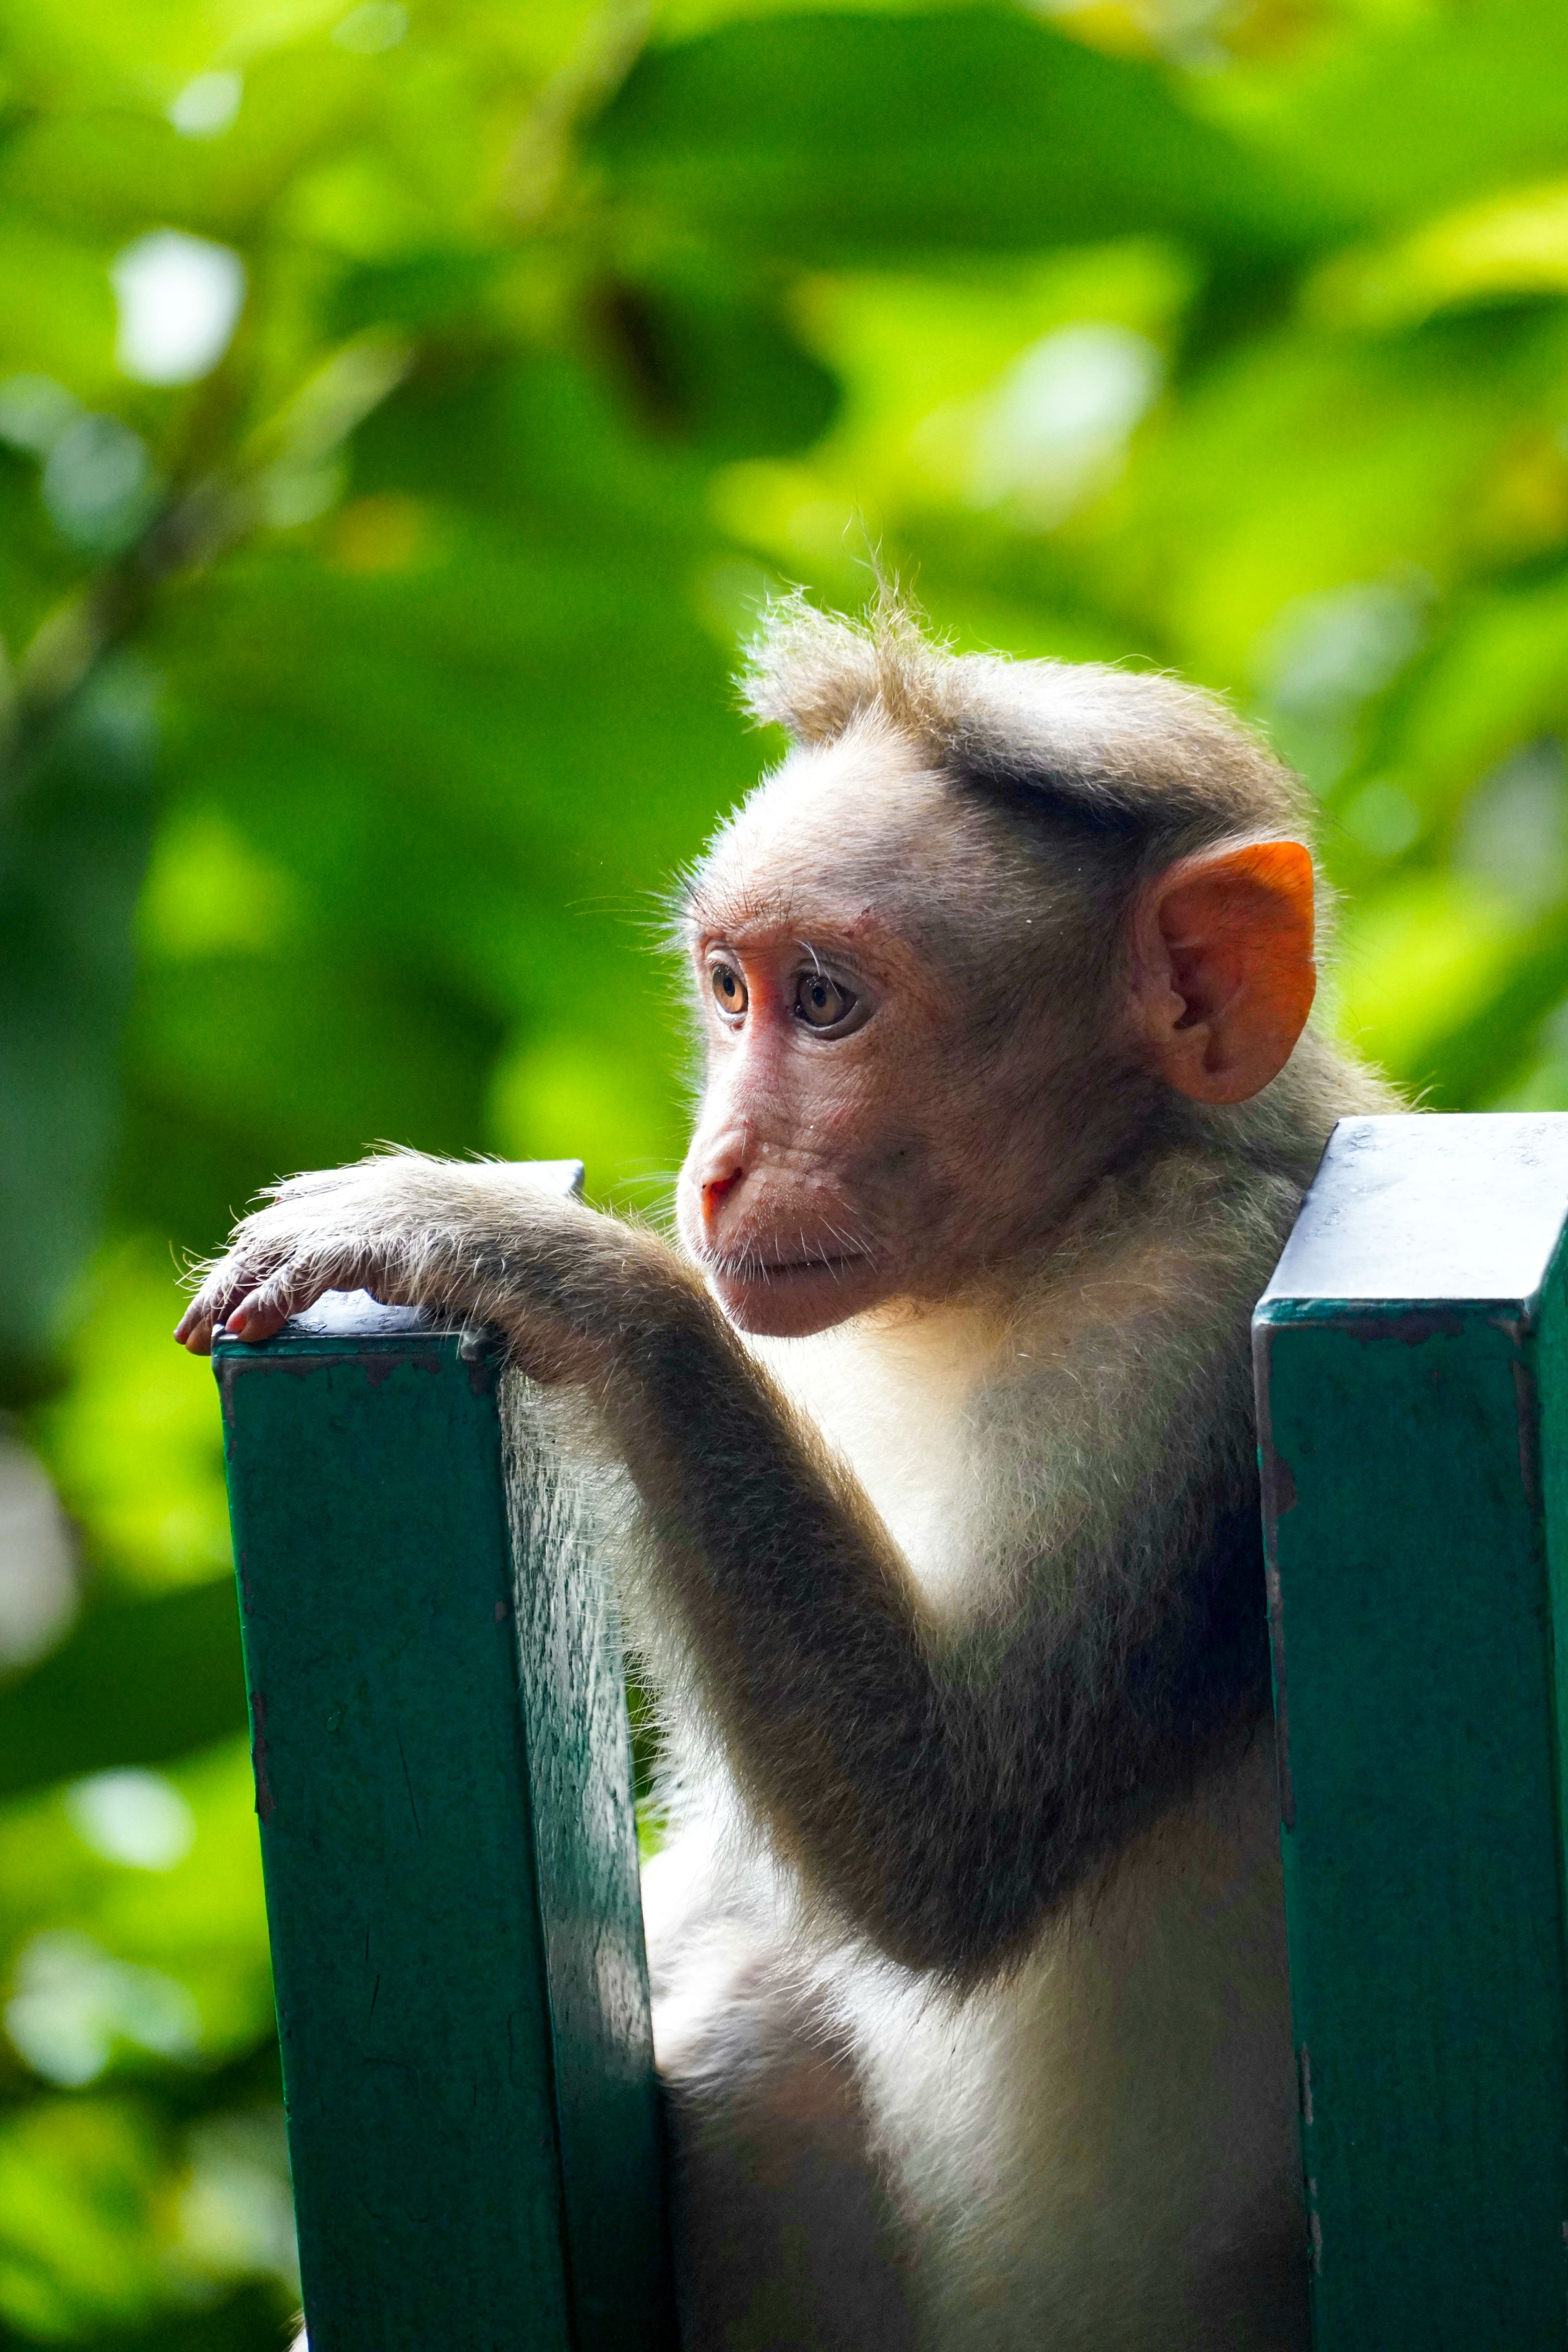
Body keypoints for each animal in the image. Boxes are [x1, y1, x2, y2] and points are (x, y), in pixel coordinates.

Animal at [177, 596, 1393, 2350]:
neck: (1064, 1228)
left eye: (827, 1002)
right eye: (727, 987)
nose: (714, 1168)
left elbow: (945, 1831)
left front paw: (534, 1257)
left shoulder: (1183, 1351)